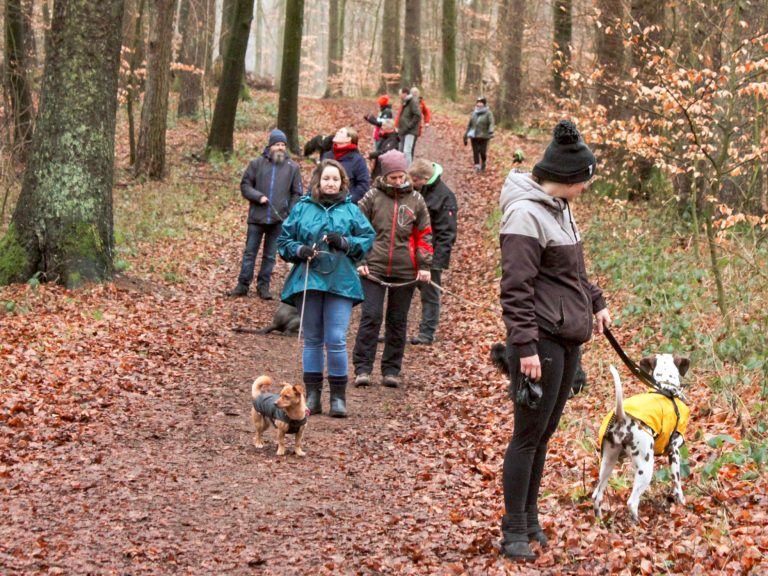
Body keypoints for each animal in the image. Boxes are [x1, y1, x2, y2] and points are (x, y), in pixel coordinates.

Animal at [592, 356, 692, 520]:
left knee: (597, 495)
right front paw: (682, 502)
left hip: (608, 463)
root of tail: (622, 417)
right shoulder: (674, 451)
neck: (666, 387)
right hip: (645, 467)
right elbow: (677, 484)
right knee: (632, 502)